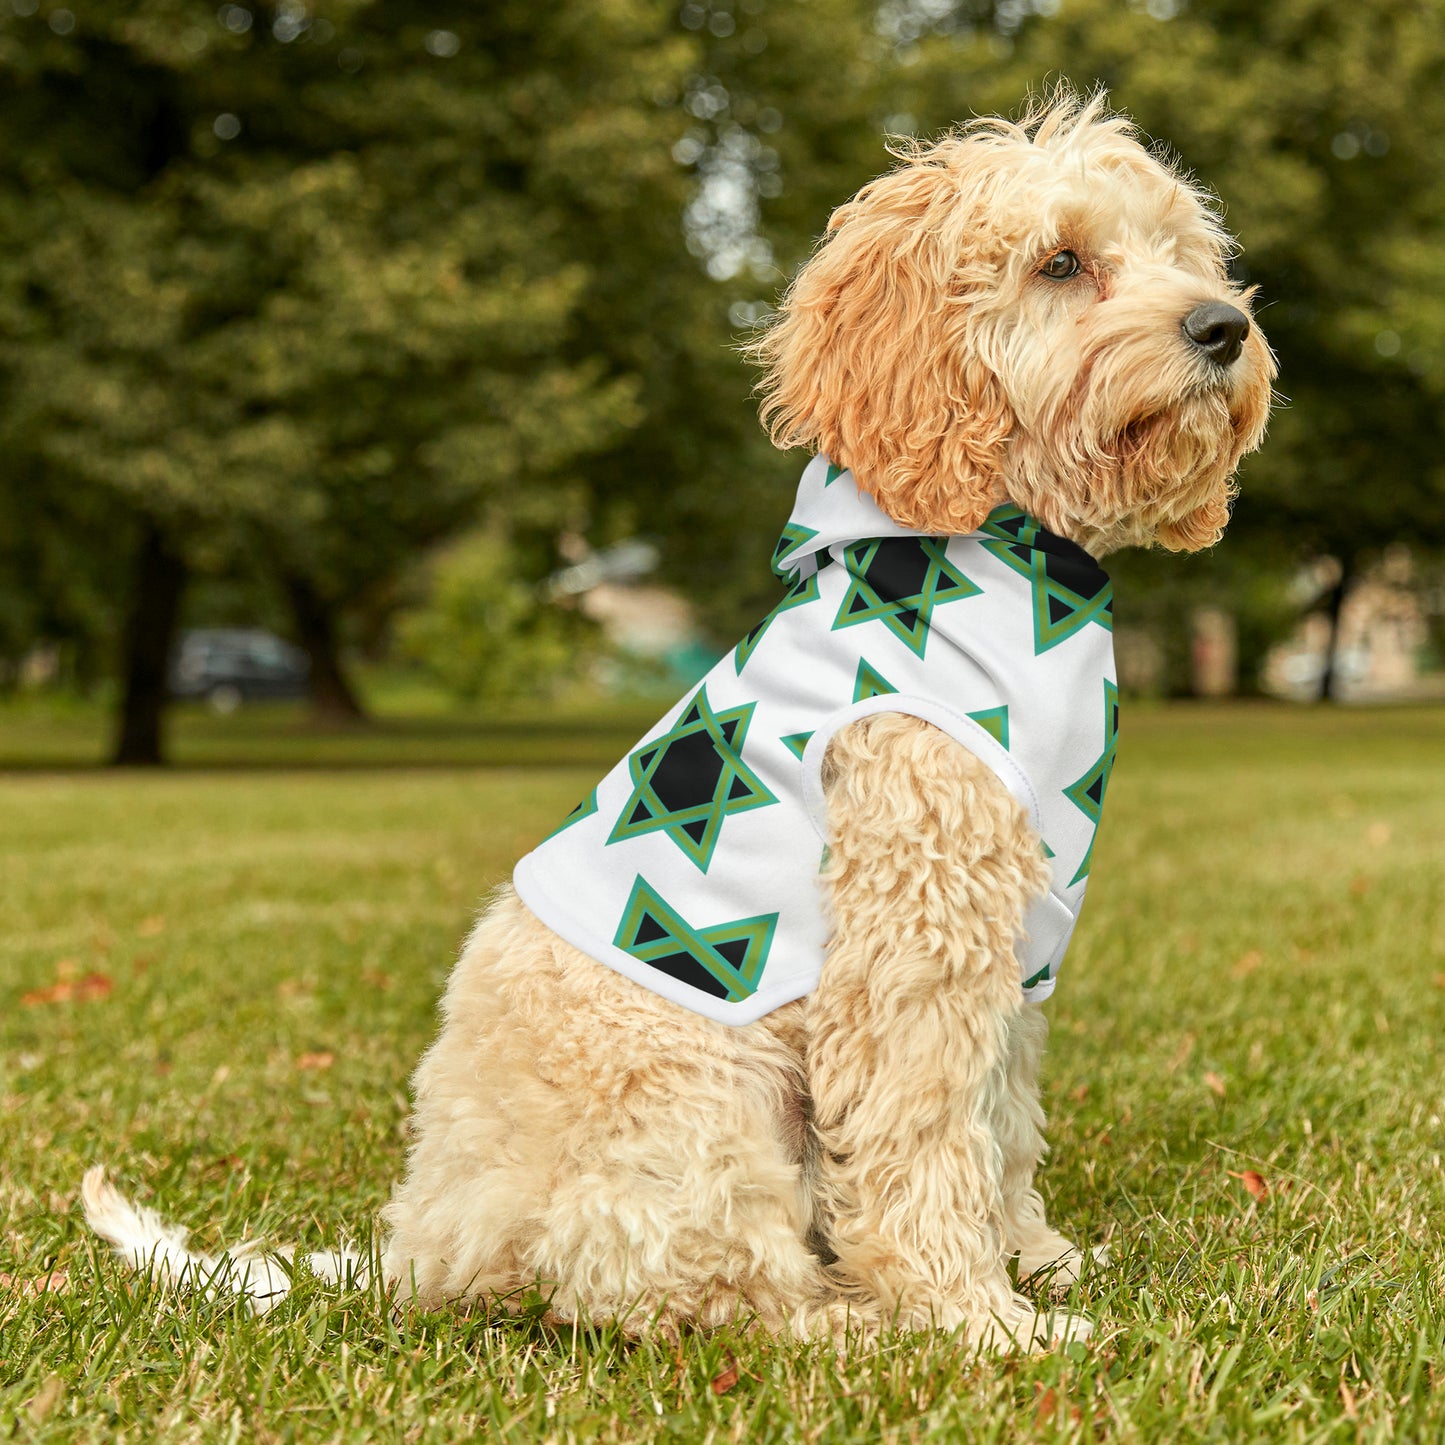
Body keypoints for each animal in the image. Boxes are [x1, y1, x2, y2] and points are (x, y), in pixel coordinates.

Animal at [84, 93, 1271, 1352]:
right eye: (1059, 262)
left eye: (1180, 252)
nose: (1222, 327)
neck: (1013, 553)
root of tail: (423, 1246)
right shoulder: (913, 935)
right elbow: (922, 1136)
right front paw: (976, 1318)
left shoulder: (1014, 941)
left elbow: (999, 1120)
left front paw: (1034, 1259)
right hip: (702, 1102)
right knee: (702, 1292)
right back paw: (853, 1323)